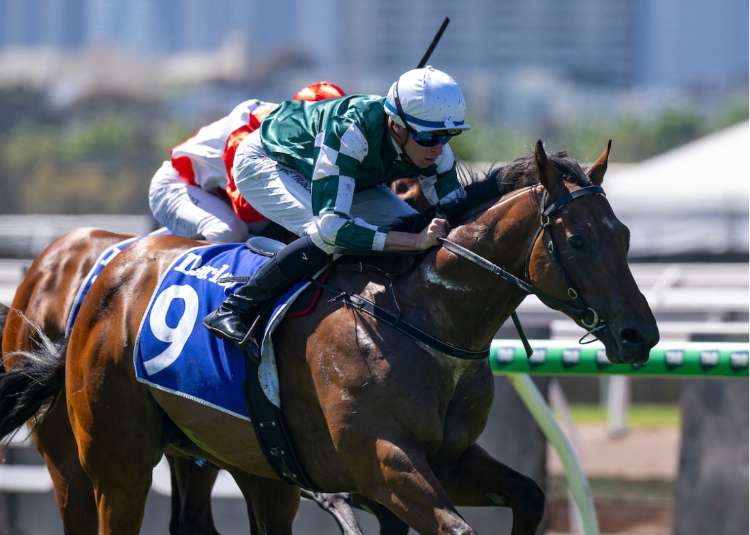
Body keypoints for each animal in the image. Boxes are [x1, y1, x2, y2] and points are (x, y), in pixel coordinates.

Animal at [0, 140, 659, 534]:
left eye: (625, 234)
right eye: (577, 240)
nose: (640, 334)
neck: (416, 319)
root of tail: (108, 269)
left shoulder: (448, 460)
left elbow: (529, 496)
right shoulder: (382, 462)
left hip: (241, 459)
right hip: (112, 461)